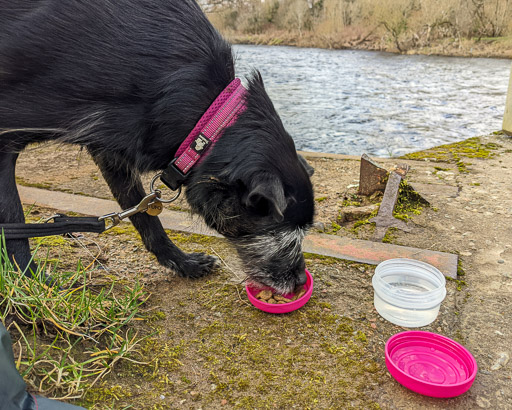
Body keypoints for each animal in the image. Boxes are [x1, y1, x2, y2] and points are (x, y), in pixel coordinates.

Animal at [0, 0, 314, 294]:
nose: (300, 280)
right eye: (279, 230)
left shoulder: (109, 149)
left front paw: (183, 263)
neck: (210, 118)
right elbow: (15, 225)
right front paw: (32, 284)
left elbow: (145, 218)